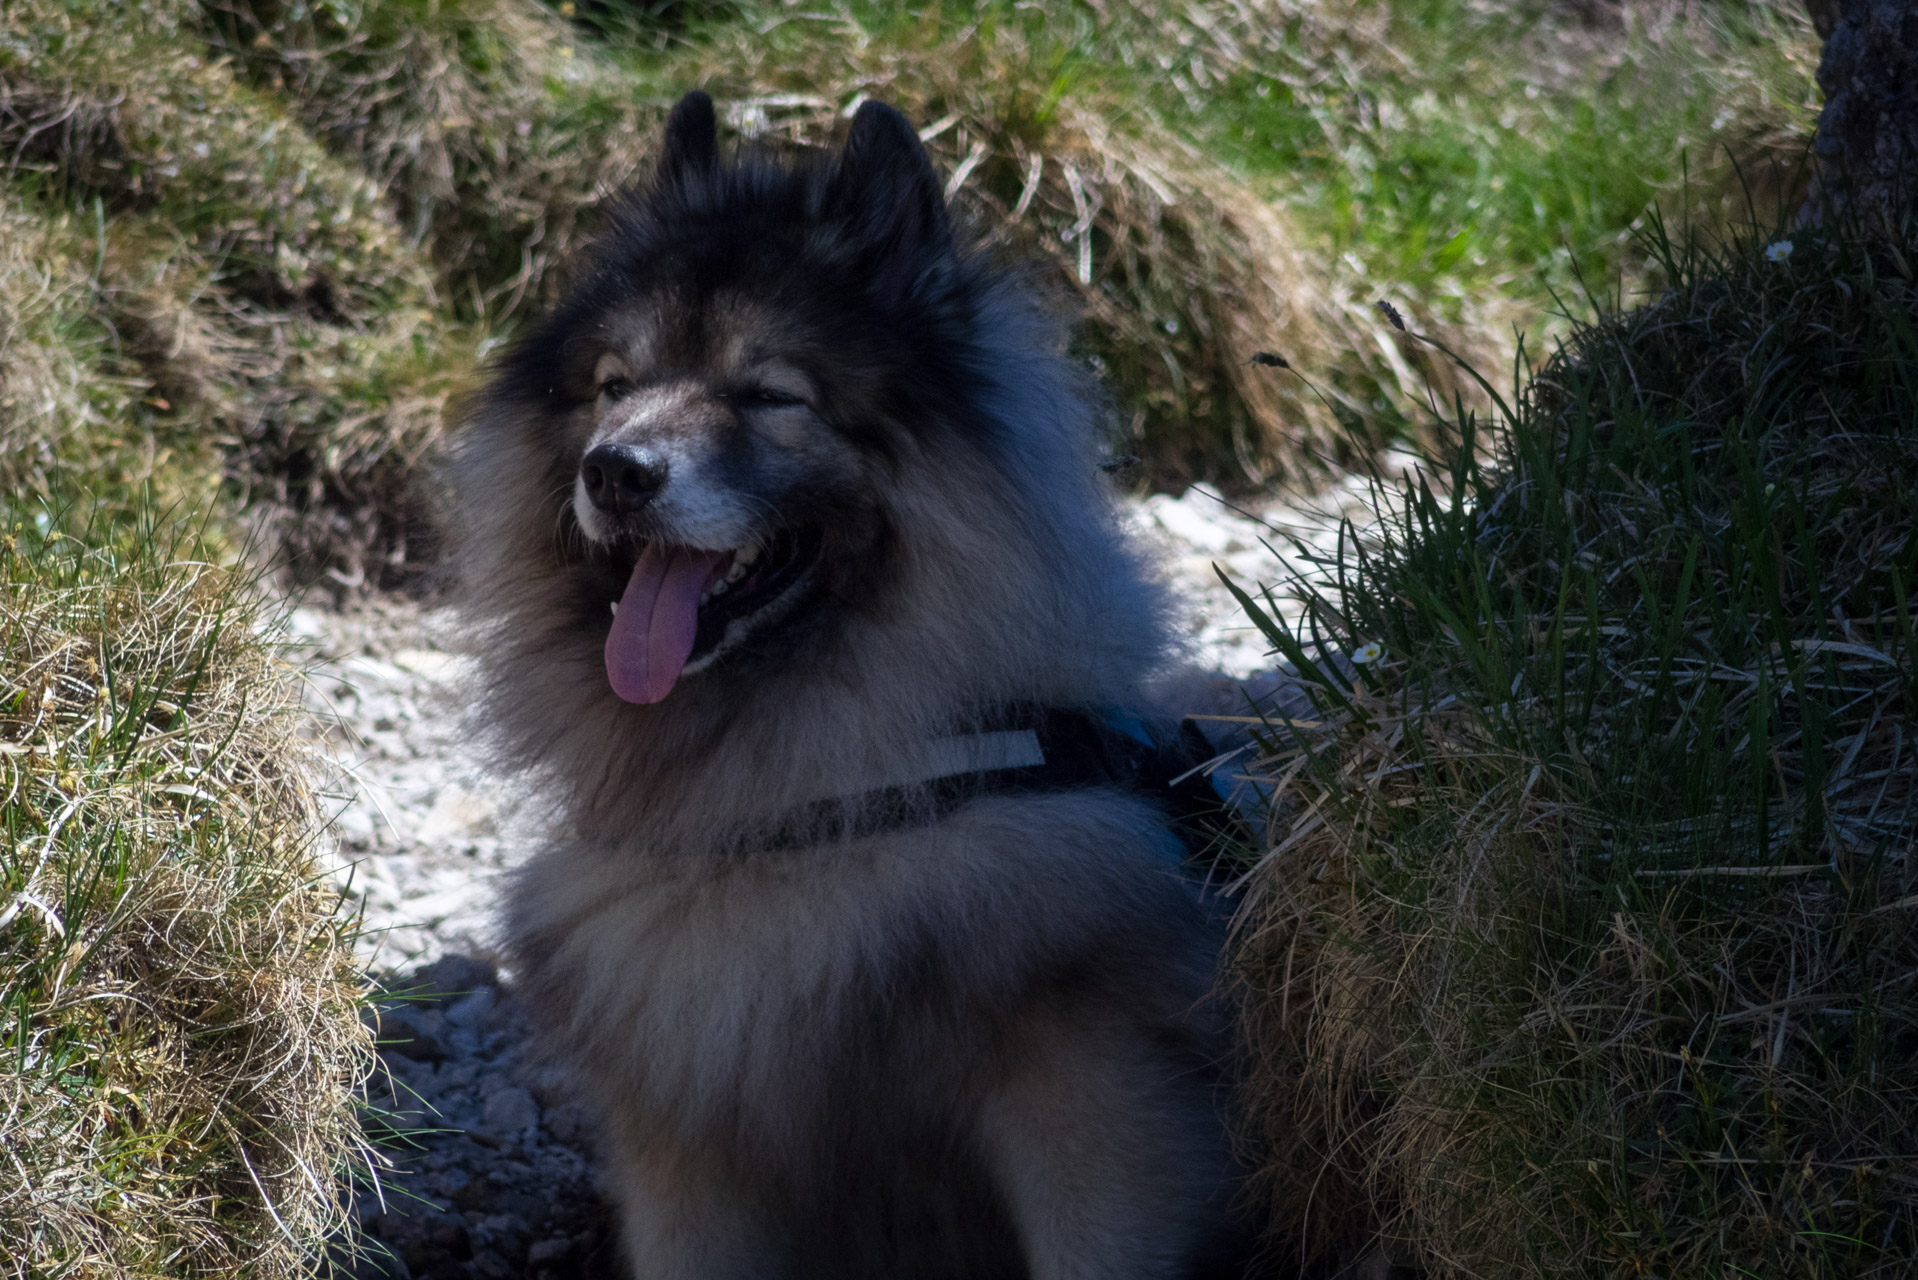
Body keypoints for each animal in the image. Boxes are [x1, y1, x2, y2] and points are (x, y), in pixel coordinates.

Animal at [456, 90, 1250, 1280]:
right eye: (615, 386)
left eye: (768, 394)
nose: (614, 469)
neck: (803, 806)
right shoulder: (690, 1159)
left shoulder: (1098, 1107)